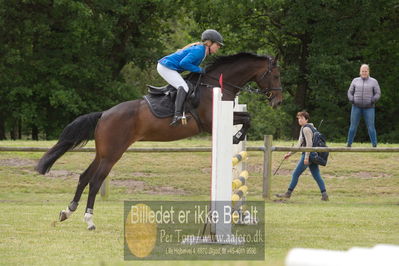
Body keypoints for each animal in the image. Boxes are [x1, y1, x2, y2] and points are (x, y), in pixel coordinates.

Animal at [36, 51, 282, 229]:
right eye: (276, 75)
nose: (278, 102)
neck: (216, 84)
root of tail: (104, 114)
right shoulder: (210, 121)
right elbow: (247, 119)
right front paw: (236, 136)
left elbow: (247, 117)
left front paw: (237, 135)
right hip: (113, 153)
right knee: (96, 181)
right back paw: (89, 220)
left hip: (103, 152)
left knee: (85, 176)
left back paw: (67, 211)